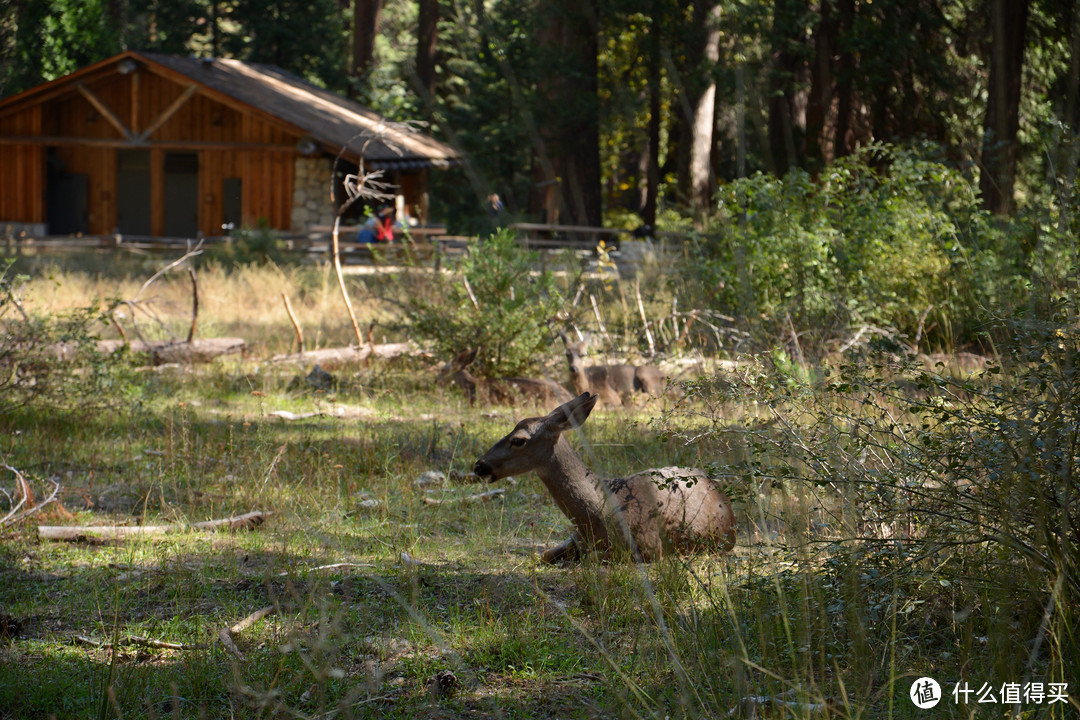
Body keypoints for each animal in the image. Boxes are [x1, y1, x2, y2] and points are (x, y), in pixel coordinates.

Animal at [470, 395, 734, 561]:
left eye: (518, 440)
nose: (479, 466)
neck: (598, 514)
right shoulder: (575, 538)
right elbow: (545, 555)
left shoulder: (650, 546)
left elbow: (593, 558)